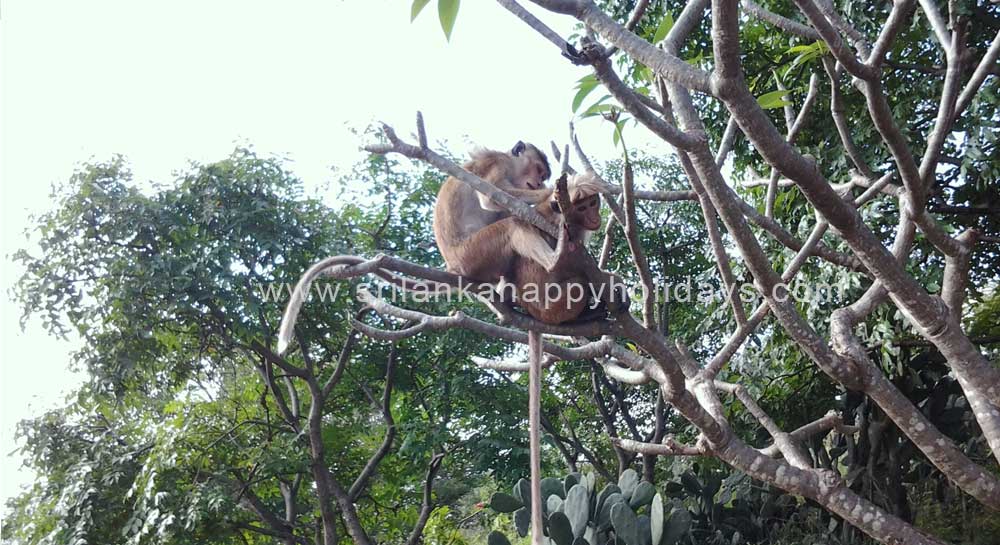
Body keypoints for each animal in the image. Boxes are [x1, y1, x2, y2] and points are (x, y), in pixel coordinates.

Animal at [432, 141, 554, 281]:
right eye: (538, 169)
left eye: (543, 176)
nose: (539, 183)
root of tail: (452, 266)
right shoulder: (497, 162)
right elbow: (490, 198)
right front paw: (550, 192)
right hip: (470, 254)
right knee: (512, 225)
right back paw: (554, 263)